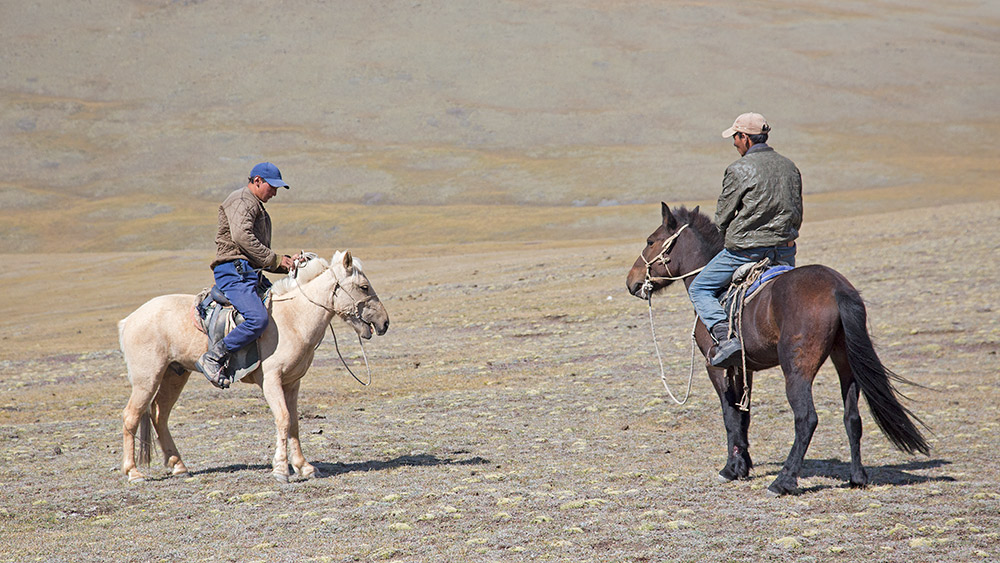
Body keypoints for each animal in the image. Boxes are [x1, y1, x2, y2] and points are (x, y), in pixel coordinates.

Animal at [114, 252, 386, 484]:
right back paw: (134, 473)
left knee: (160, 416)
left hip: (174, 375)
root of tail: (129, 320)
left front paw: (304, 467)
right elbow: (284, 419)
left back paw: (179, 466)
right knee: (131, 416)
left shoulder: (292, 383)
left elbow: (294, 423)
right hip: (147, 378)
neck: (294, 318)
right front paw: (281, 470)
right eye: (364, 287)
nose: (384, 323)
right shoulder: (272, 381)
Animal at [624, 205, 928, 496]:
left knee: (806, 419)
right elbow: (744, 416)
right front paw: (743, 465)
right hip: (845, 363)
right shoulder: (743, 367)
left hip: (796, 370)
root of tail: (836, 289)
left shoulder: (718, 367)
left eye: (650, 241)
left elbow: (730, 416)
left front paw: (730, 469)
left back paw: (783, 482)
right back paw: (857, 478)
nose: (632, 281)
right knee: (852, 417)